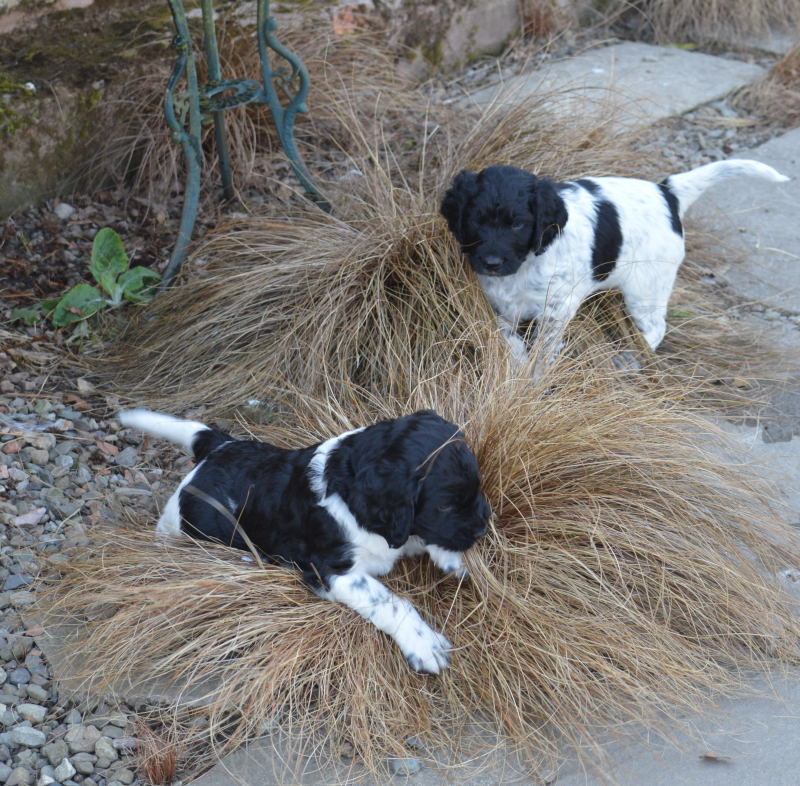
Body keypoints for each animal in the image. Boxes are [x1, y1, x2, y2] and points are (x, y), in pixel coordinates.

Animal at [118, 408, 491, 674]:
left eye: (476, 487)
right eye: (445, 504)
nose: (483, 529)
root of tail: (221, 446)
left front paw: (452, 560)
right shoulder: (330, 569)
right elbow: (389, 601)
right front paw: (425, 645)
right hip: (187, 525)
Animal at [441, 160, 789, 363]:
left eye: (517, 225)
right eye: (476, 220)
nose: (491, 262)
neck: (525, 264)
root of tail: (667, 193)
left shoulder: (556, 308)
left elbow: (543, 350)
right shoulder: (499, 304)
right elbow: (507, 338)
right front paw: (516, 363)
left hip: (647, 288)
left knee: (656, 327)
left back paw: (633, 357)